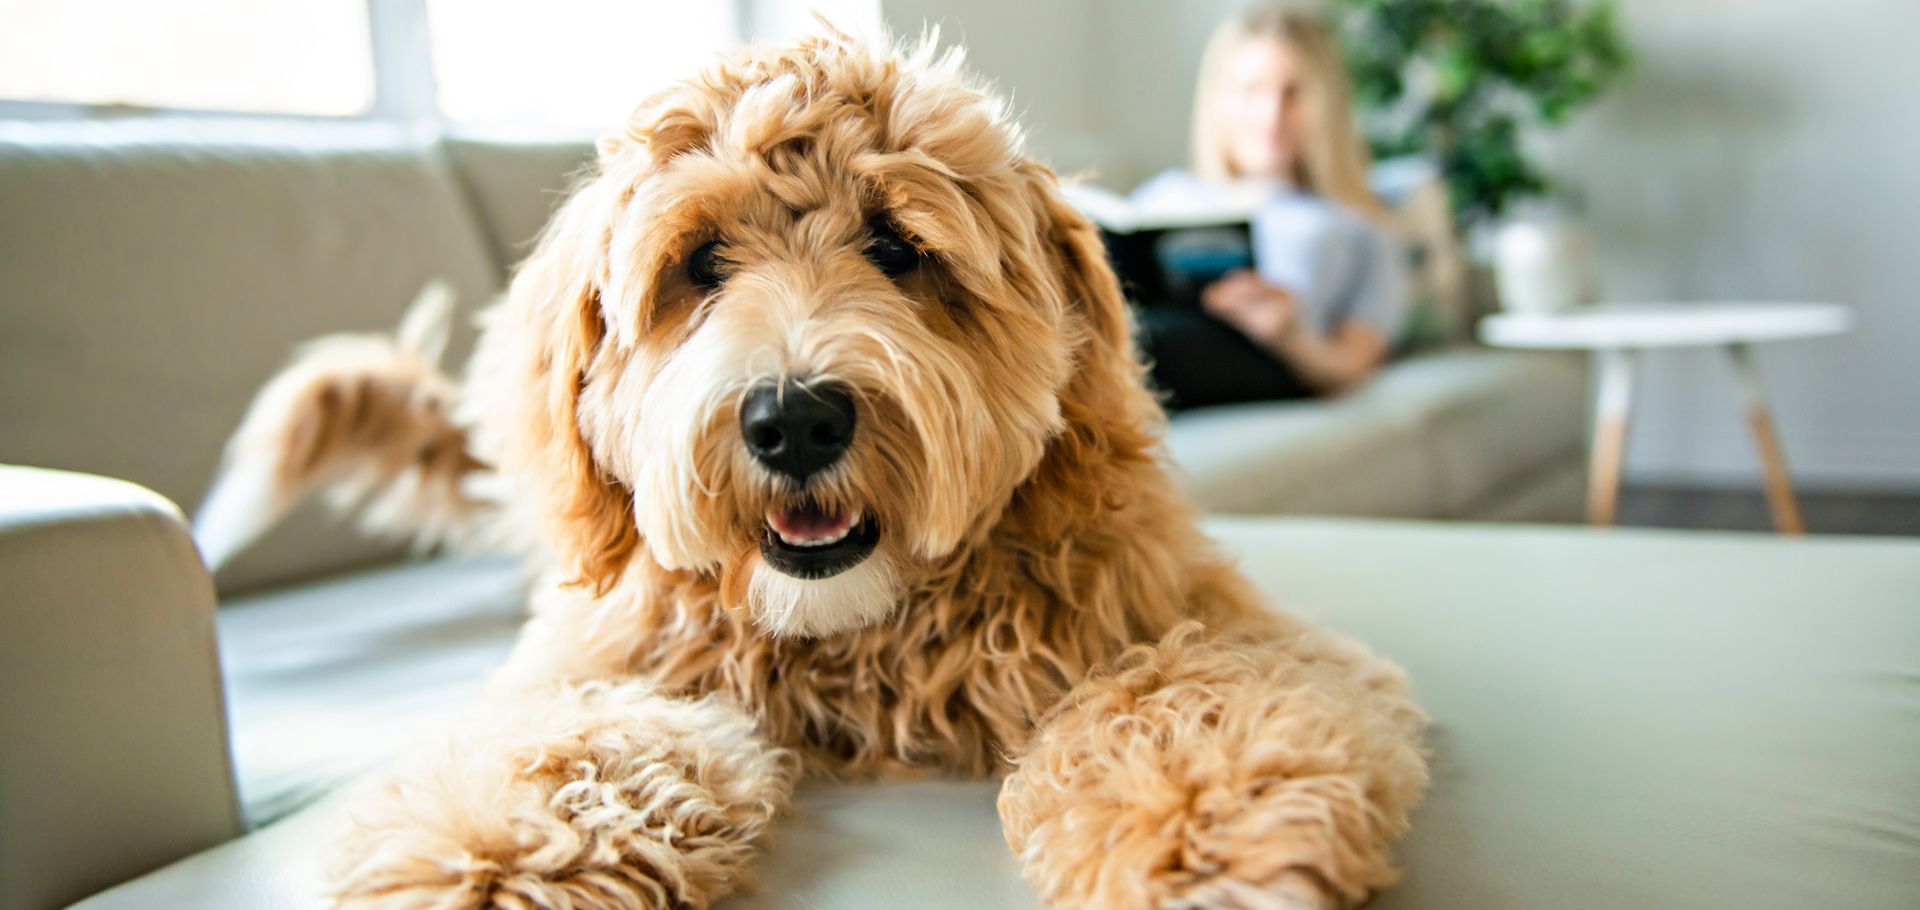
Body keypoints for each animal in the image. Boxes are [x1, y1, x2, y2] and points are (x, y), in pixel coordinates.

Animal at [202, 28, 1428, 910]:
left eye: (897, 248)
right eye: (701, 263)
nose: (793, 421)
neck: (856, 639)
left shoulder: (1200, 620)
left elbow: (1181, 697)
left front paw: (1205, 835)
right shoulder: (596, 666)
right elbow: (572, 747)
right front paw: (492, 855)